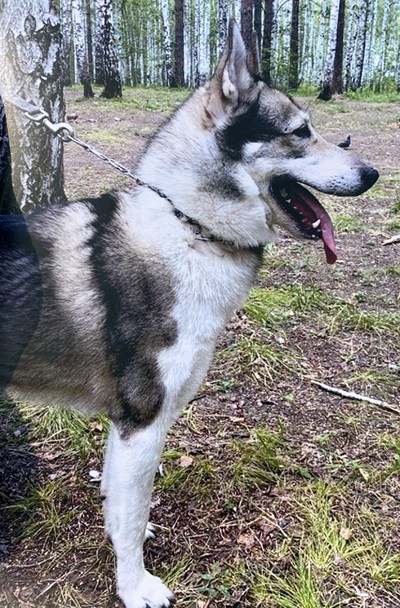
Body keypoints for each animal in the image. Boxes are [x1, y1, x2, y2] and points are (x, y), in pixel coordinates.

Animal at [0, 21, 378, 608]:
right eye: (300, 131)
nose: (374, 172)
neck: (189, 227)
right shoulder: (142, 423)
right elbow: (131, 516)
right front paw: (135, 586)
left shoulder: (130, 429)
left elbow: (120, 507)